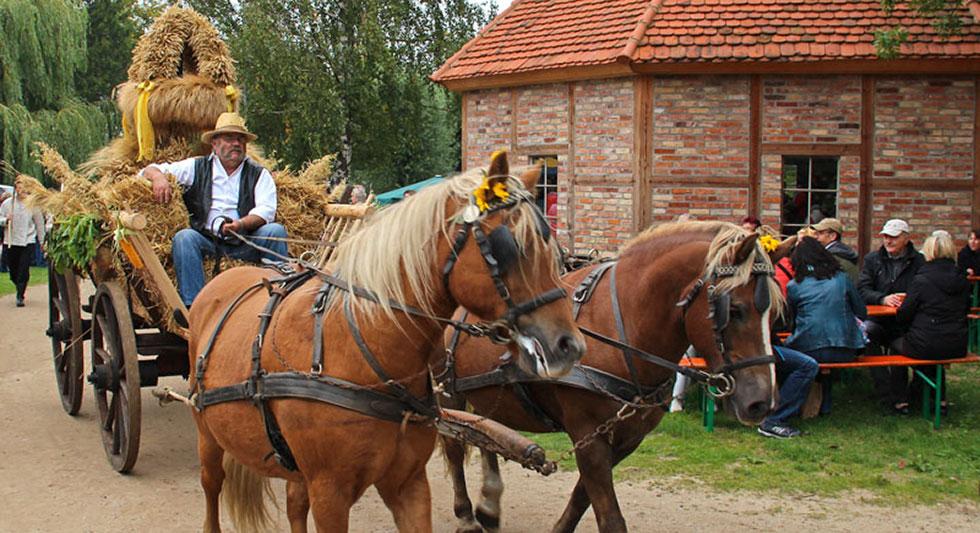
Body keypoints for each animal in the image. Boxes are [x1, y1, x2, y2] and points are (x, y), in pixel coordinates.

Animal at [188, 151, 584, 532]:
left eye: (552, 248)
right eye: (509, 246)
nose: (570, 346)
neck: (365, 350)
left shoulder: (408, 483)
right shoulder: (330, 494)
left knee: (293, 503)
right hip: (207, 435)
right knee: (211, 487)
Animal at [436, 220, 788, 532]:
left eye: (774, 313)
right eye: (736, 310)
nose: (761, 403)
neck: (622, 324)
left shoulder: (625, 439)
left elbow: (582, 496)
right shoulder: (588, 434)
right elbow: (610, 517)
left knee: (482, 433)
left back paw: (489, 505)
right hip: (445, 391)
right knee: (453, 446)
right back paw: (466, 515)